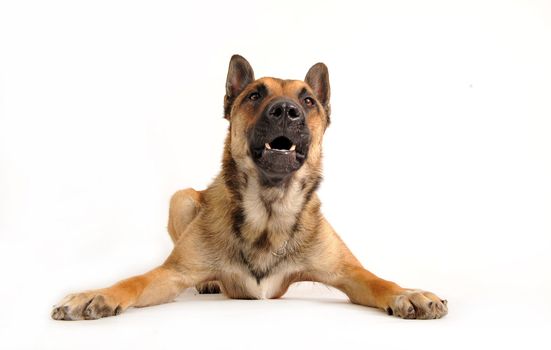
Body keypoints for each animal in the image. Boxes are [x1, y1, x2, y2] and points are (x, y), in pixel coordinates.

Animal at [50, 54, 448, 320]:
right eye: (255, 95)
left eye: (308, 100)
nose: (286, 110)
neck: (270, 209)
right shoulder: (171, 274)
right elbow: (132, 281)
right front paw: (96, 295)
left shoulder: (350, 274)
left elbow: (380, 281)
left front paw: (409, 293)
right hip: (181, 199)